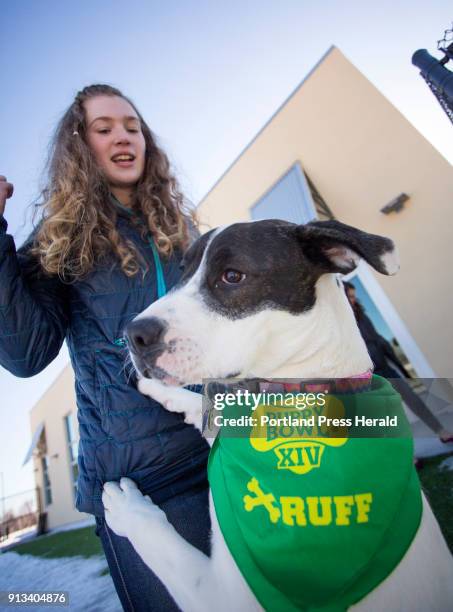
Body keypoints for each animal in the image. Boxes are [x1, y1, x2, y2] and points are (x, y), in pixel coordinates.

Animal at [102, 220, 452, 612]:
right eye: (182, 271)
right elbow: (205, 409)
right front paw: (157, 390)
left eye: (232, 276)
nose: (133, 335)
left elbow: (171, 552)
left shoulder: (224, 596)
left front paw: (129, 509)